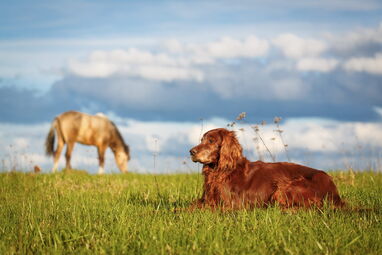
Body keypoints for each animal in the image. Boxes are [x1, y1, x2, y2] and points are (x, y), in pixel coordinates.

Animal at [190, 127, 344, 209]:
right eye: (201, 140)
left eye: (211, 141)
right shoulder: (206, 199)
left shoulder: (230, 204)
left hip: (285, 187)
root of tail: (334, 191)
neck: (221, 171)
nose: (191, 152)